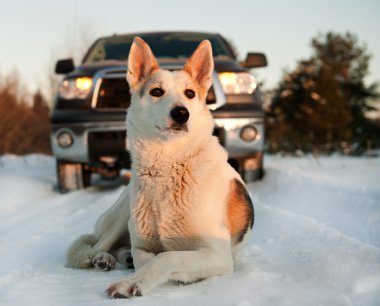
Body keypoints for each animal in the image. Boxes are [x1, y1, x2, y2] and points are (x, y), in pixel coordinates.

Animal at [66, 37, 254, 298]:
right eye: (157, 92)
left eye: (190, 94)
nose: (181, 113)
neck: (168, 167)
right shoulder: (143, 245)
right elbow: (148, 257)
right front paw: (137, 274)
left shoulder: (218, 255)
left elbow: (167, 257)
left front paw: (132, 281)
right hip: (124, 213)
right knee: (102, 244)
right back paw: (103, 257)